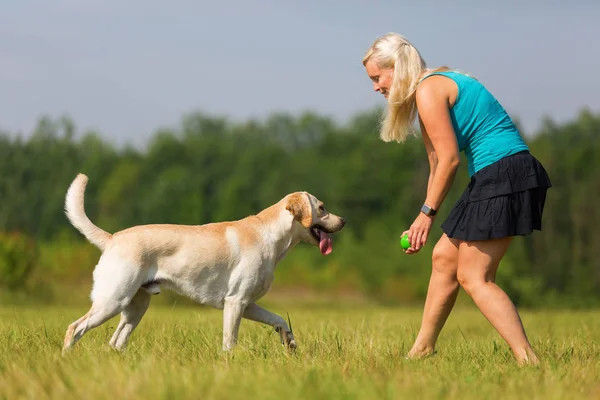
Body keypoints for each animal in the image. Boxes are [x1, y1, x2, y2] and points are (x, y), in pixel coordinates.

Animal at [62, 174, 346, 354]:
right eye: (322, 208)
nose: (343, 220)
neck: (271, 237)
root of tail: (112, 238)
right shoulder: (235, 303)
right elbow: (230, 342)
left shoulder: (248, 303)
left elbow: (279, 320)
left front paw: (290, 343)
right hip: (112, 301)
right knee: (74, 328)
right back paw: (66, 360)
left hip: (135, 307)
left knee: (116, 342)